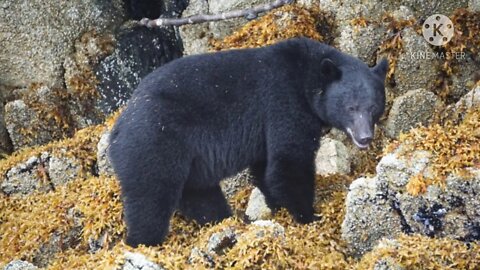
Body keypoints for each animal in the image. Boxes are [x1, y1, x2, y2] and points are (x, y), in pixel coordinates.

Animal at [108, 38, 386, 247]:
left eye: (373, 107)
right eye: (351, 107)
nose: (364, 137)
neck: (305, 75)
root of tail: (117, 130)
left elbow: (266, 168)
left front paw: (277, 207)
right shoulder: (284, 102)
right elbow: (289, 161)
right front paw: (310, 215)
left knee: (199, 194)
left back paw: (225, 221)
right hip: (153, 144)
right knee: (150, 199)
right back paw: (142, 241)